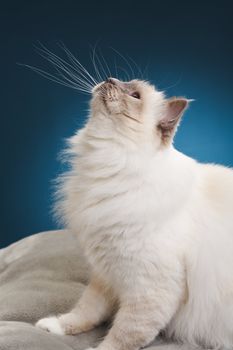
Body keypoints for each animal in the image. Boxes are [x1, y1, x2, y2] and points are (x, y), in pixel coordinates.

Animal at [35, 77, 233, 350]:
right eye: (121, 81)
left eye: (135, 95)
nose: (109, 79)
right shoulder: (105, 273)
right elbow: (86, 311)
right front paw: (55, 327)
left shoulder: (147, 287)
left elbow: (122, 335)